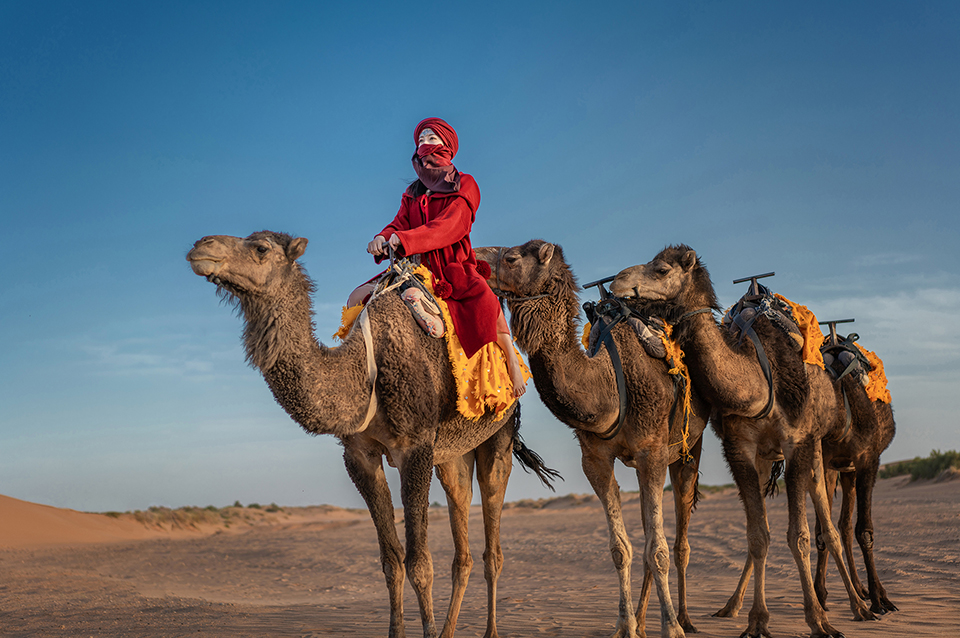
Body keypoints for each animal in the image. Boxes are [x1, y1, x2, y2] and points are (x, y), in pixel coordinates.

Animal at [187, 234, 556, 638]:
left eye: (261, 248)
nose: (202, 246)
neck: (365, 373)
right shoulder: (360, 456)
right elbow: (391, 561)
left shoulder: (415, 447)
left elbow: (419, 564)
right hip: (452, 454)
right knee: (463, 530)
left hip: (499, 435)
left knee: (493, 538)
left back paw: (488, 629)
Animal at [476, 241, 708, 638]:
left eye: (512, 258)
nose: (471, 256)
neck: (609, 384)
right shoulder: (595, 459)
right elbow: (621, 548)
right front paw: (625, 626)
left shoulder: (652, 451)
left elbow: (658, 551)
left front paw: (671, 629)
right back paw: (643, 620)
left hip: (687, 449)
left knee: (678, 539)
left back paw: (686, 620)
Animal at [608, 248, 876, 638]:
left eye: (661, 269)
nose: (617, 282)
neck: (757, 381)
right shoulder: (739, 447)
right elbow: (757, 536)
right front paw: (757, 621)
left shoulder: (796, 440)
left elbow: (799, 536)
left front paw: (818, 621)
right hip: (767, 456)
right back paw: (731, 606)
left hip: (816, 445)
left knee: (827, 524)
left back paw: (860, 606)